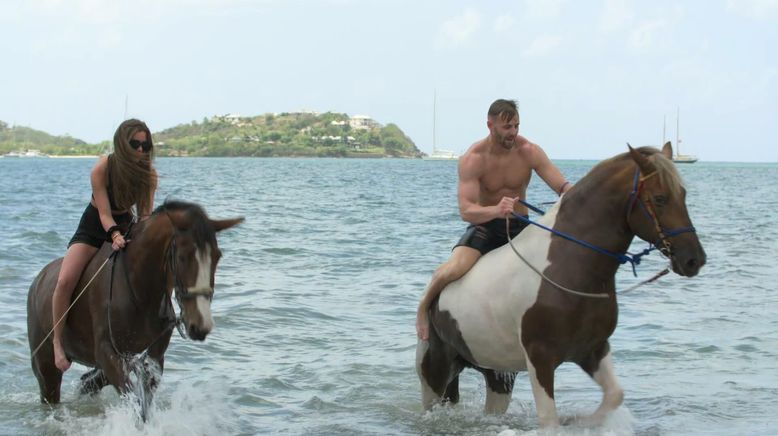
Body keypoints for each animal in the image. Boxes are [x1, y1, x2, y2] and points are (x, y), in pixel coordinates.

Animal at [27, 201, 241, 412]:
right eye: (182, 257)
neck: (140, 289)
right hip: (47, 369)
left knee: (90, 383)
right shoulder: (107, 353)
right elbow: (135, 404)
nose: (201, 325)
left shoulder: (153, 357)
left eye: (217, 256)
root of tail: (37, 281)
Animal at [416, 143, 708, 426]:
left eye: (682, 195)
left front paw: (579, 420)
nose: (694, 259)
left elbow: (614, 395)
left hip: (497, 375)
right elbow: (550, 420)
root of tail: (435, 302)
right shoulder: (540, 358)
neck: (568, 267)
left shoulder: (592, 349)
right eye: (660, 198)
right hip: (436, 372)